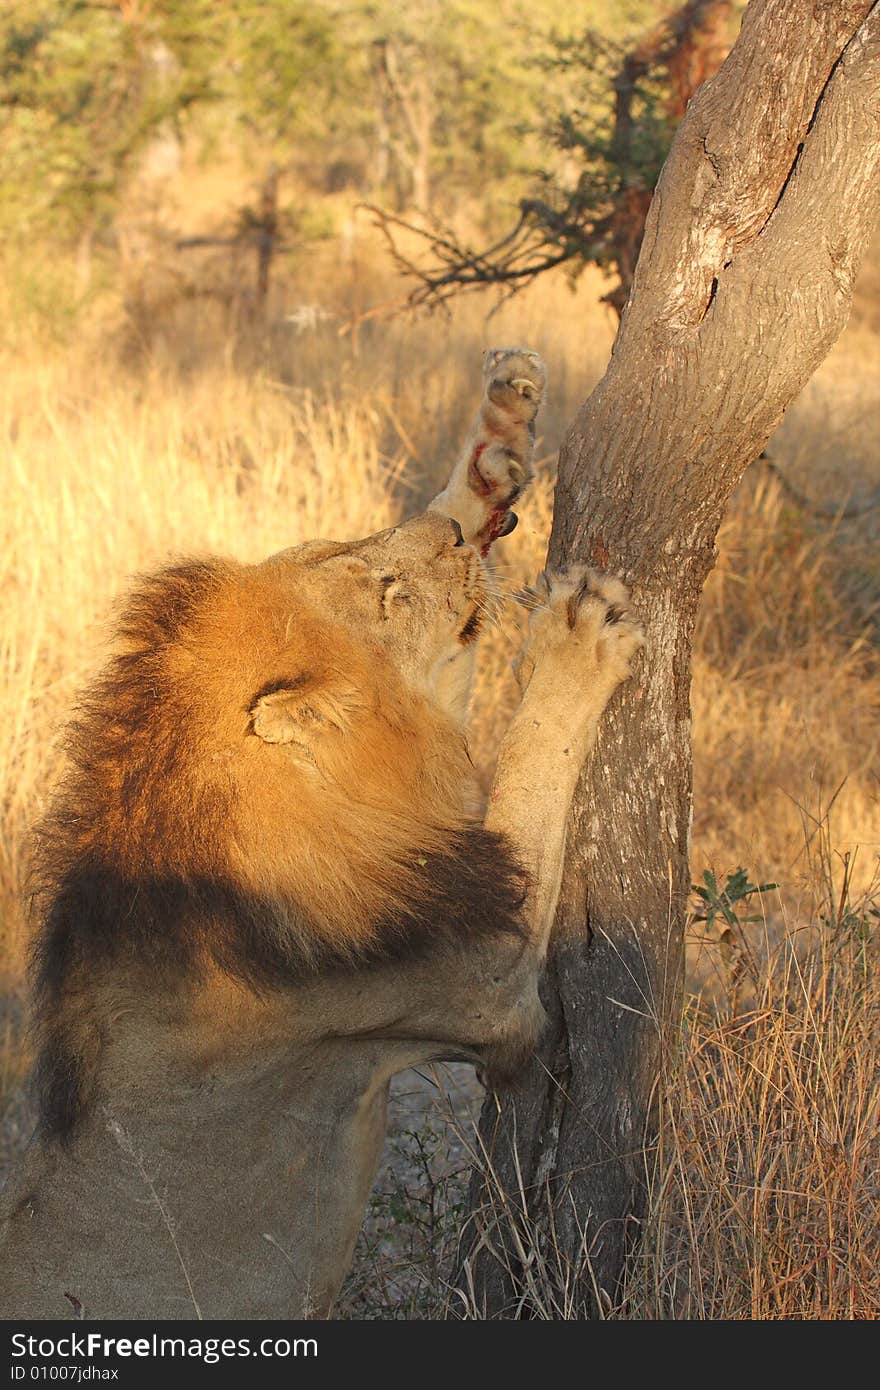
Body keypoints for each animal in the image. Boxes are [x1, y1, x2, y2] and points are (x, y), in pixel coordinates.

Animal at [0, 344, 639, 1312]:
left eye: (351, 544)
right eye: (387, 591)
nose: (456, 538)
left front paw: (497, 438)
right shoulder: (490, 988)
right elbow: (536, 752)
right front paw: (576, 635)